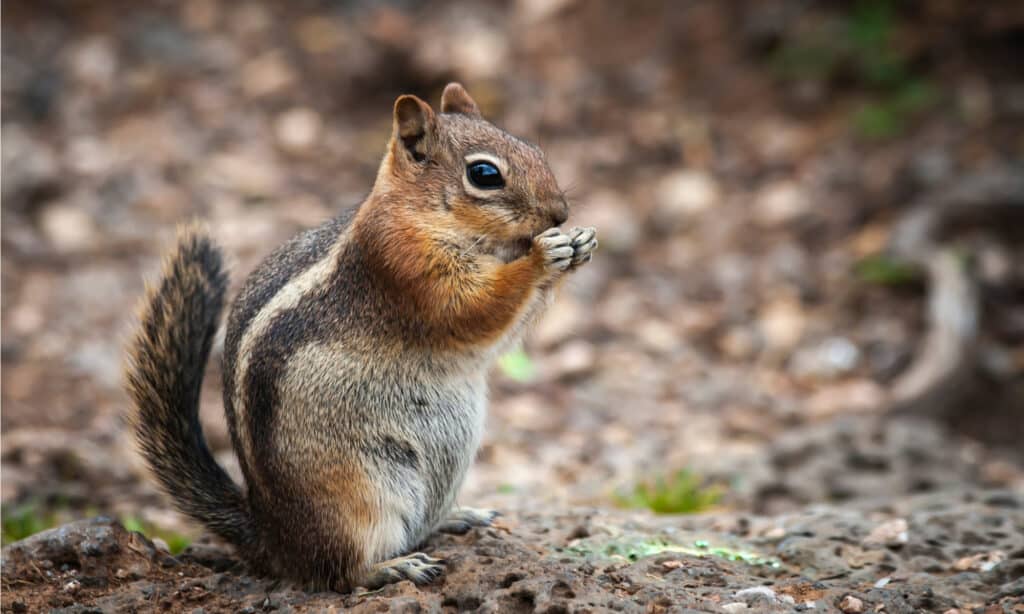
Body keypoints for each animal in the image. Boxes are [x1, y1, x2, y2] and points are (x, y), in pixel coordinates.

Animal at [123, 82, 598, 589]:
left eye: (536, 151)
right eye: (485, 174)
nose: (560, 212)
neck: (416, 211)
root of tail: (272, 538)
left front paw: (578, 244)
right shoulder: (403, 265)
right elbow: (474, 309)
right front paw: (543, 257)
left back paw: (457, 517)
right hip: (359, 496)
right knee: (340, 572)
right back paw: (392, 566)